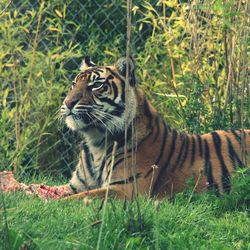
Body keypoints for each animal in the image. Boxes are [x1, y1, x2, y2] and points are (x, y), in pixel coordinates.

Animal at [59, 57, 250, 201]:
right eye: (73, 84)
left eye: (96, 85)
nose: (68, 103)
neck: (96, 142)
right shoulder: (74, 185)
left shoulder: (125, 190)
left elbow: (72, 200)